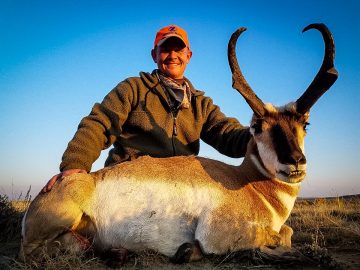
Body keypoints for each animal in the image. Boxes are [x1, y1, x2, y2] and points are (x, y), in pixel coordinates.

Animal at [19, 23, 338, 264]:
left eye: (305, 124)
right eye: (257, 127)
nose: (294, 161)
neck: (248, 183)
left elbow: (287, 232)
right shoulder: (219, 233)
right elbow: (283, 235)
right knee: (39, 252)